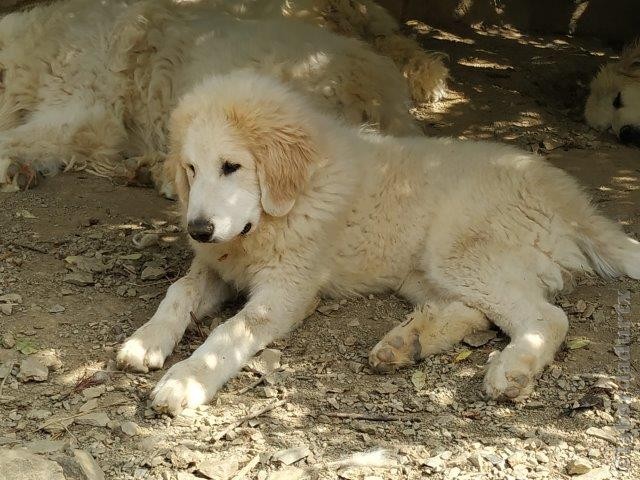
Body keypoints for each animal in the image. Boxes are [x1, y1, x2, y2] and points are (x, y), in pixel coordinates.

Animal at [116, 70, 640, 412]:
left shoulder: (287, 290)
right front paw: (147, 340)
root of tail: (574, 203)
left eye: (232, 166)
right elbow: (178, 292)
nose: (198, 230)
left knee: (546, 316)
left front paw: (186, 380)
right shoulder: (217, 265)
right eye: (190, 169)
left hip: (455, 251)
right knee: (482, 312)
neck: (285, 208)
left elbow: (231, 331)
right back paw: (407, 342)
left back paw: (512, 369)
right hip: (426, 271)